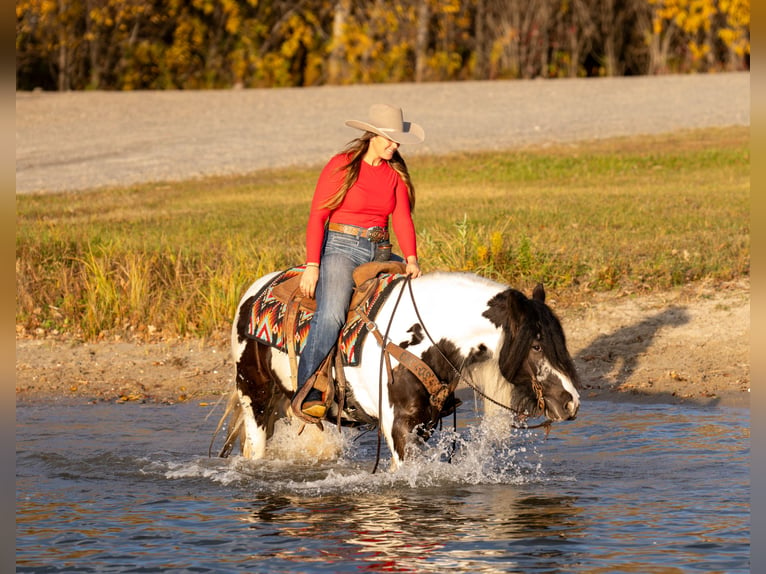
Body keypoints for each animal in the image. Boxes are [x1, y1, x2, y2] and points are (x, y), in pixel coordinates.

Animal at [213, 264, 580, 470]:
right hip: (255, 398)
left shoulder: (424, 425)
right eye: (536, 345)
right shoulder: (398, 428)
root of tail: (254, 292)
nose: (572, 402)